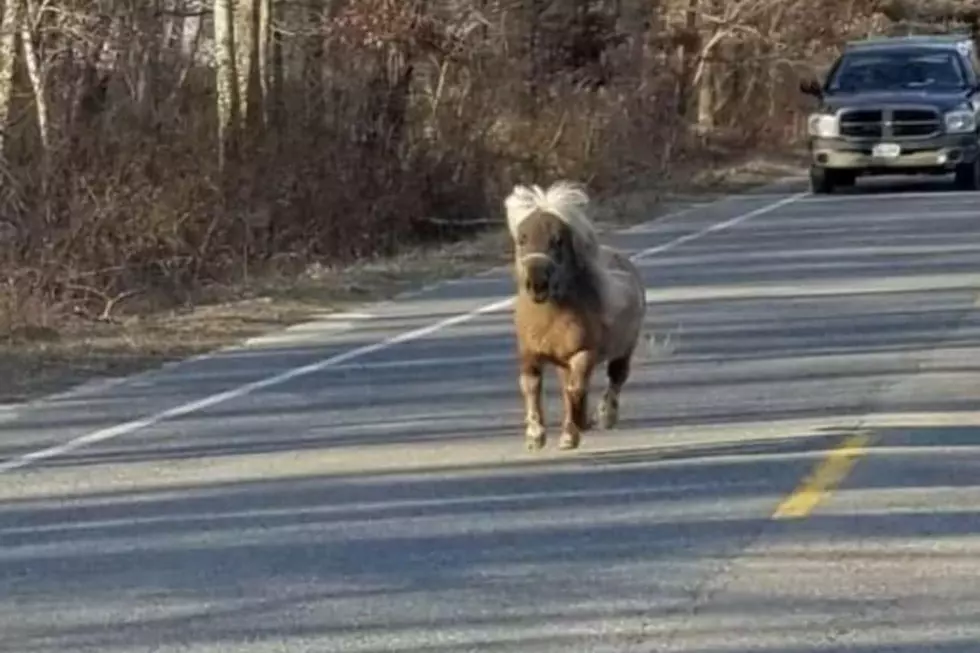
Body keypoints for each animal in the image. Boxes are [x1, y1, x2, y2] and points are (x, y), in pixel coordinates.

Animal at [506, 181, 652, 450]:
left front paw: (575, 430)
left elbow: (576, 390)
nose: (536, 284)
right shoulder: (530, 353)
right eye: (522, 238)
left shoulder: (584, 353)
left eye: (558, 240)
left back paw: (604, 415)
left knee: (615, 378)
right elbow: (531, 387)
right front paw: (535, 437)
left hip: (623, 349)